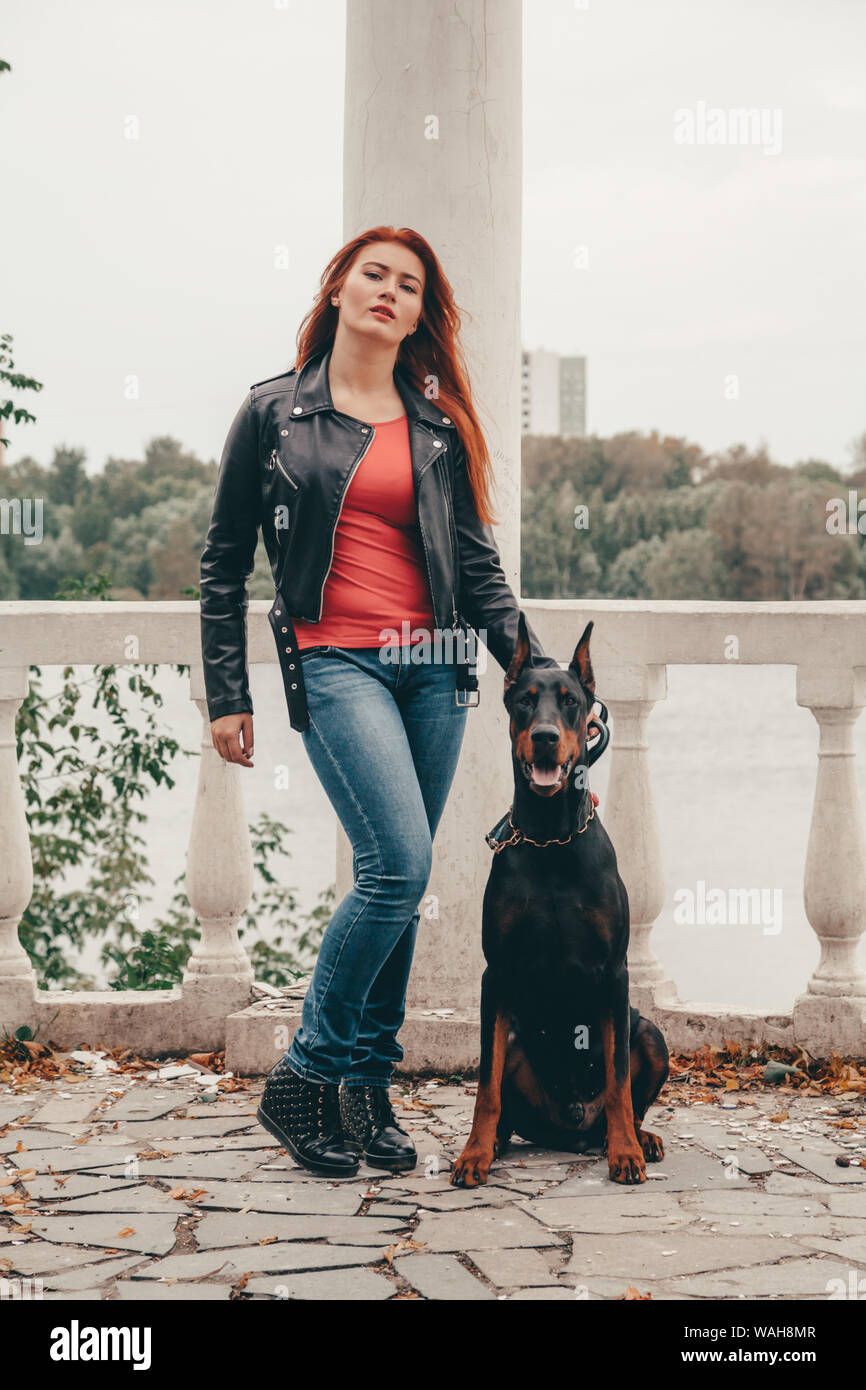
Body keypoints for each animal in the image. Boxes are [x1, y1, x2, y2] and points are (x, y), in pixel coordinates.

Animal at [450, 614, 675, 1189]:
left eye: (571, 701)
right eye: (524, 701)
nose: (546, 738)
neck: (551, 837)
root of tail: (570, 1129)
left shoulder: (615, 972)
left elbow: (617, 1080)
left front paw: (625, 1154)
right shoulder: (496, 973)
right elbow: (485, 1086)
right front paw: (472, 1153)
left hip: (650, 1033)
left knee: (629, 1094)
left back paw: (638, 1137)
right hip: (514, 1040)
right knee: (505, 1102)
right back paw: (497, 1143)